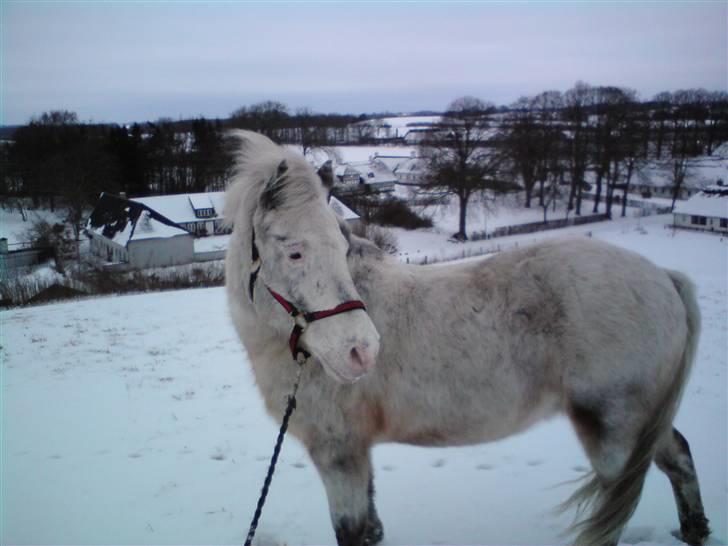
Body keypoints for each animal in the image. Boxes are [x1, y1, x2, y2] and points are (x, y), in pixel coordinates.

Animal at [225, 131, 708, 544]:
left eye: (342, 248)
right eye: (295, 252)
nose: (361, 351)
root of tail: (664, 278)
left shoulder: (338, 453)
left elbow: (352, 532)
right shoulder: (355, 451)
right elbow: (371, 527)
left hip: (615, 428)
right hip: (642, 421)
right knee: (679, 456)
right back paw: (695, 530)